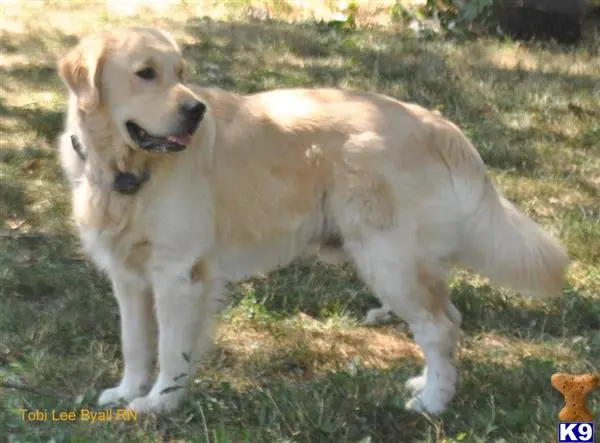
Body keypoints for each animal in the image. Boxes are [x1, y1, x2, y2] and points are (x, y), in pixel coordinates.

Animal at [56, 27, 568, 416]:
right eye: (146, 74)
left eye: (181, 74)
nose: (195, 110)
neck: (125, 169)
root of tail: (432, 121)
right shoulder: (128, 276)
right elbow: (135, 342)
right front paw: (127, 391)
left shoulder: (178, 272)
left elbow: (169, 348)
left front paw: (160, 402)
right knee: (448, 321)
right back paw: (427, 385)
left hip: (389, 260)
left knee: (440, 327)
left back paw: (432, 404)